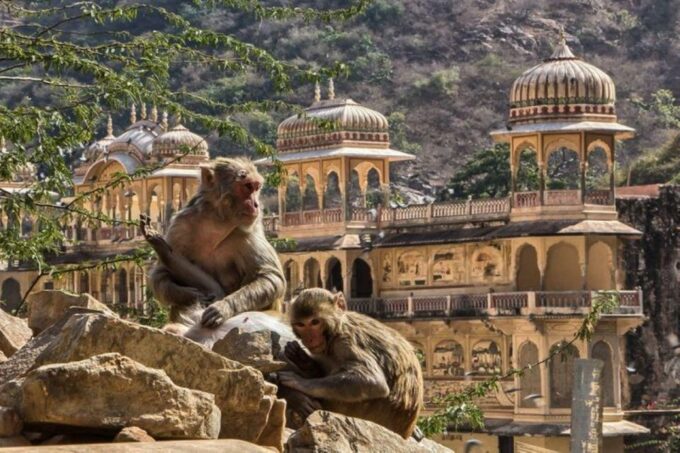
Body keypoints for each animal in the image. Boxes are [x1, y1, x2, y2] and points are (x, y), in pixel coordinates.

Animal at [148, 157, 286, 332]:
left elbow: (270, 276)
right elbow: (161, 273)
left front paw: (222, 307)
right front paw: (195, 295)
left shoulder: (248, 232)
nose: (256, 205)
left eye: (256, 187)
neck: (217, 223)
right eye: (247, 186)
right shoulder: (180, 225)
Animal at [278, 288, 423, 439]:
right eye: (301, 324)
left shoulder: (345, 342)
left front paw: (298, 382)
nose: (310, 339)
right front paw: (302, 360)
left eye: (315, 322)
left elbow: (373, 382)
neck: (336, 329)